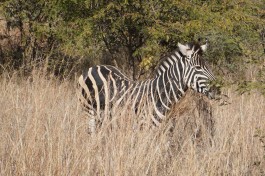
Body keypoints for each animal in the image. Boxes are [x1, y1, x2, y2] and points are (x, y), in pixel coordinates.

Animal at [77, 40, 216, 133]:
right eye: (198, 68)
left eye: (208, 66)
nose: (217, 89)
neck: (160, 94)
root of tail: (94, 67)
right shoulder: (143, 127)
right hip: (89, 112)